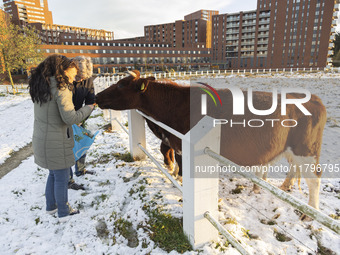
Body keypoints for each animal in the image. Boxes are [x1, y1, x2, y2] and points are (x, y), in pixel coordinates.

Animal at [95, 70, 326, 211]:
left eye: (121, 85)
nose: (96, 97)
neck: (176, 104)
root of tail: (313, 98)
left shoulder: (182, 144)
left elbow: (179, 164)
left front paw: (179, 181)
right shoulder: (173, 140)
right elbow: (171, 157)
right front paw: (174, 174)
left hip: (306, 149)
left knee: (314, 178)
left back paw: (310, 212)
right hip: (291, 149)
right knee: (293, 167)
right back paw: (284, 187)